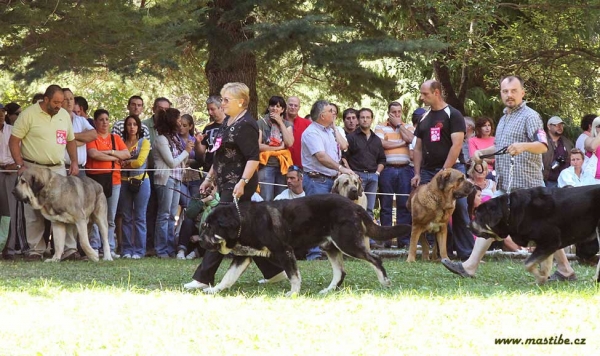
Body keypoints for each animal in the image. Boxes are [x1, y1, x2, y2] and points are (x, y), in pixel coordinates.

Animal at [197, 193, 412, 296]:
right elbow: (227, 278)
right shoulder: (243, 257)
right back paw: (328, 291)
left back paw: (385, 282)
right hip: (330, 246)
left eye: (208, 227)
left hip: (347, 242)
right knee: (340, 272)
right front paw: (213, 290)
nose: (198, 240)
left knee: (375, 258)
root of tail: (354, 205)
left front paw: (293, 293)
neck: (245, 223)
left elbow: (293, 275)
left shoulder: (284, 250)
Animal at [468, 186, 600, 284]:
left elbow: (528, 264)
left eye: (477, 215)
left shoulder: (550, 241)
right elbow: (544, 265)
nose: (468, 226)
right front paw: (541, 279)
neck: (510, 211)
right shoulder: (545, 245)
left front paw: (540, 278)